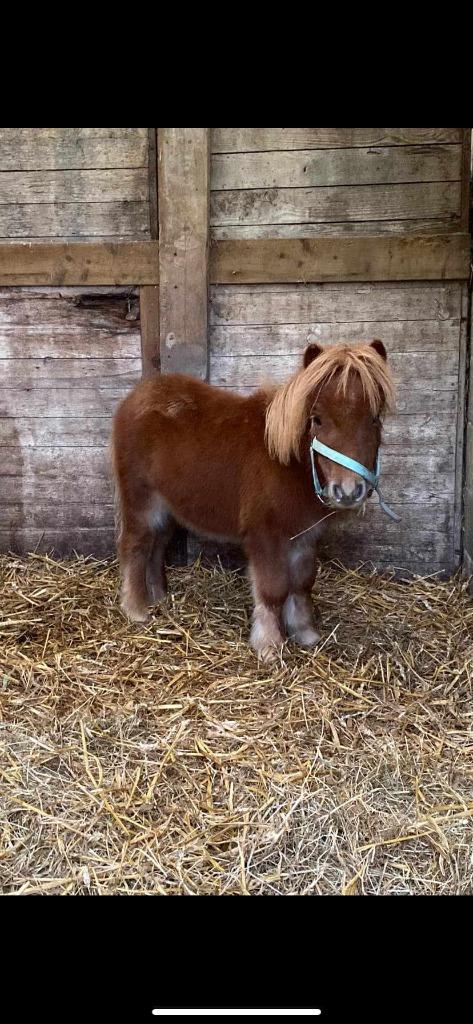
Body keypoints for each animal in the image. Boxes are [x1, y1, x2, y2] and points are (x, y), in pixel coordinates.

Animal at [111, 342, 395, 663]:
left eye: (375, 418)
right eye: (317, 420)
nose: (348, 491)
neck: (287, 462)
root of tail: (137, 397)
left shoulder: (304, 537)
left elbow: (302, 583)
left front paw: (305, 633)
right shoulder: (266, 536)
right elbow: (273, 590)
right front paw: (269, 645)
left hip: (167, 507)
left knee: (157, 545)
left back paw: (159, 597)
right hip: (142, 502)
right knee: (135, 546)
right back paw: (136, 610)